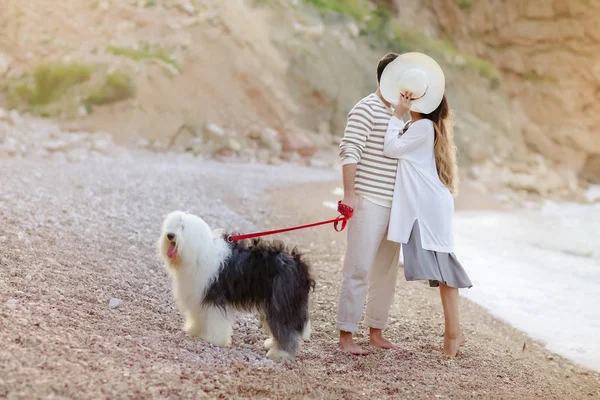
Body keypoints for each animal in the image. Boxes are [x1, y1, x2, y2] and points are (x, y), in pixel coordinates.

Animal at [158, 211, 314, 360]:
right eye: (172, 225)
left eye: (183, 227)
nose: (170, 235)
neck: (199, 253)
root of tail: (299, 264)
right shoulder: (198, 295)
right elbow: (198, 315)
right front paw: (195, 330)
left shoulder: (215, 297)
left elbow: (216, 321)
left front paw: (214, 339)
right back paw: (272, 344)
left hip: (280, 303)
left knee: (286, 328)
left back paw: (281, 353)